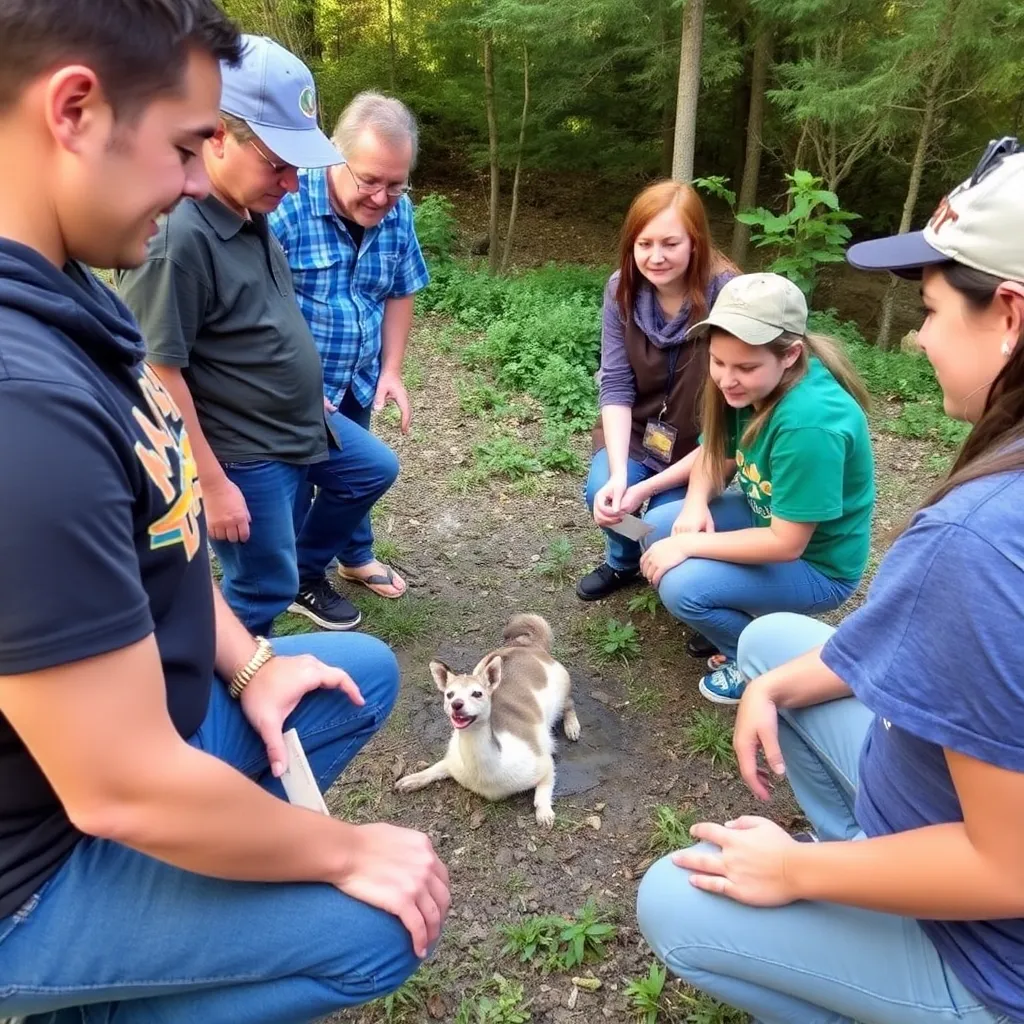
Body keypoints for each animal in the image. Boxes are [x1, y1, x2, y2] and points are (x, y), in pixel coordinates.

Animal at [395, 610, 581, 827]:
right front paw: (413, 779)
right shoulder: (453, 761)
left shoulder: (545, 765)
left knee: (569, 705)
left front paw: (544, 812)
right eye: (449, 695)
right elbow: (436, 768)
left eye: (477, 693)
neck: (485, 770)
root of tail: (531, 647)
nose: (456, 704)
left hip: (563, 688)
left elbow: (543, 791)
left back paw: (572, 726)